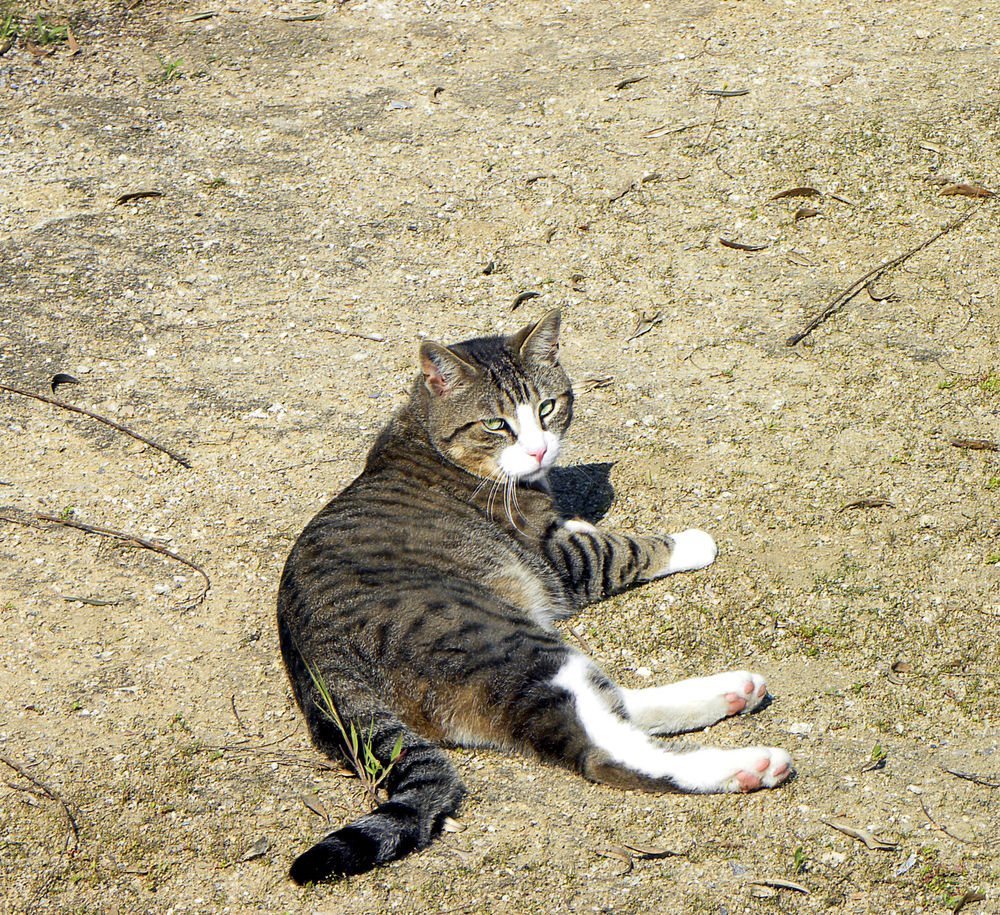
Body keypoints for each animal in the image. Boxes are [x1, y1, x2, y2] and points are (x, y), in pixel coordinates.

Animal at [278, 312, 792, 884]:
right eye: (496, 424)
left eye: (547, 408)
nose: (540, 450)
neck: (424, 431)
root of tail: (320, 668)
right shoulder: (560, 561)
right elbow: (622, 548)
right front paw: (688, 542)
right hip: (507, 641)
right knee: (602, 747)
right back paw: (745, 765)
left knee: (613, 703)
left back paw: (730, 692)